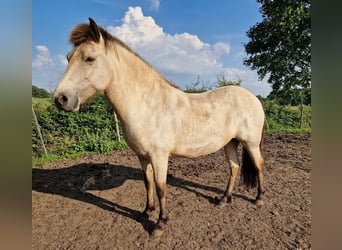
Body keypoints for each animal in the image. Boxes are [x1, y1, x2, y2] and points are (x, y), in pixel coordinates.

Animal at [54, 18, 268, 236]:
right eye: (68, 58)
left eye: (89, 59)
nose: (61, 99)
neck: (147, 104)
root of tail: (253, 97)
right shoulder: (142, 156)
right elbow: (147, 183)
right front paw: (146, 211)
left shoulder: (159, 156)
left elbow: (160, 187)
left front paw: (160, 223)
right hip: (230, 143)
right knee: (234, 167)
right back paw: (224, 200)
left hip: (250, 143)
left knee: (259, 165)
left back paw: (259, 198)